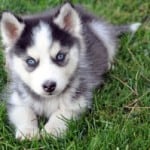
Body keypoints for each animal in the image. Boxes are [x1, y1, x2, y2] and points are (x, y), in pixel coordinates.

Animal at [0, 2, 141, 139]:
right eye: (30, 61)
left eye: (60, 56)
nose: (49, 86)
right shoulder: (16, 97)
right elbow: (24, 112)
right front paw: (27, 131)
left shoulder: (79, 96)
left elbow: (63, 112)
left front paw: (52, 130)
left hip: (101, 32)